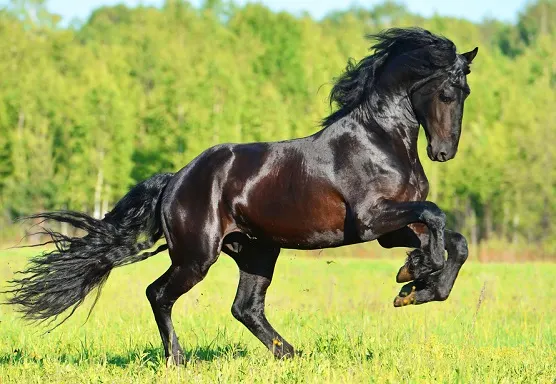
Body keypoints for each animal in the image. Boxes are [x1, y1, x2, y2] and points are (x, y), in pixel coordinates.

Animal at [6, 27, 478, 364]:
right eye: (446, 92)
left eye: (466, 93)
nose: (443, 152)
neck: (380, 139)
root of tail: (175, 180)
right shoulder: (370, 221)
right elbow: (436, 216)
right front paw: (415, 273)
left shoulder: (391, 228)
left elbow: (455, 242)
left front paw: (416, 285)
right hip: (197, 257)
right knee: (159, 294)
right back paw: (178, 360)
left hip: (256, 252)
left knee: (245, 307)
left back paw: (290, 354)